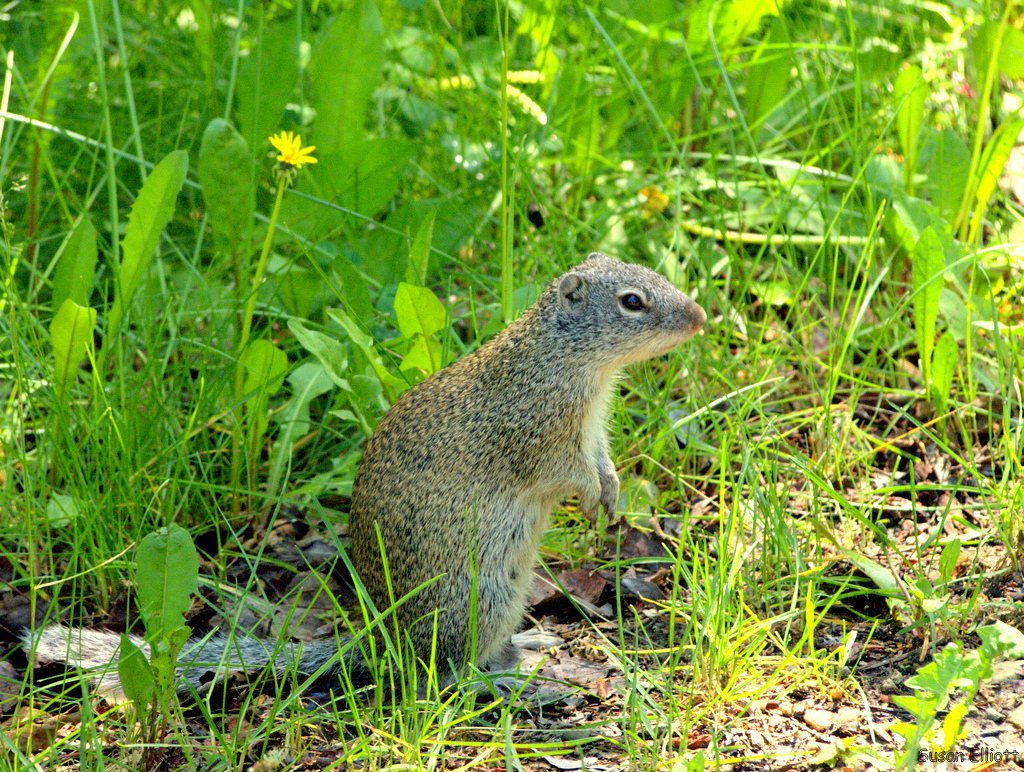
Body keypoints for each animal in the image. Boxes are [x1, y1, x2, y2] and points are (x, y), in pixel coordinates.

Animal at [24, 252, 706, 699]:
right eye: (633, 301)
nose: (701, 317)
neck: (566, 360)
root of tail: (384, 641)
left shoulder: (592, 432)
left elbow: (603, 462)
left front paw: (613, 493)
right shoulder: (541, 434)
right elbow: (567, 473)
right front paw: (596, 500)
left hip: (507, 594)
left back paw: (531, 652)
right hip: (475, 597)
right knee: (444, 676)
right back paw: (509, 687)